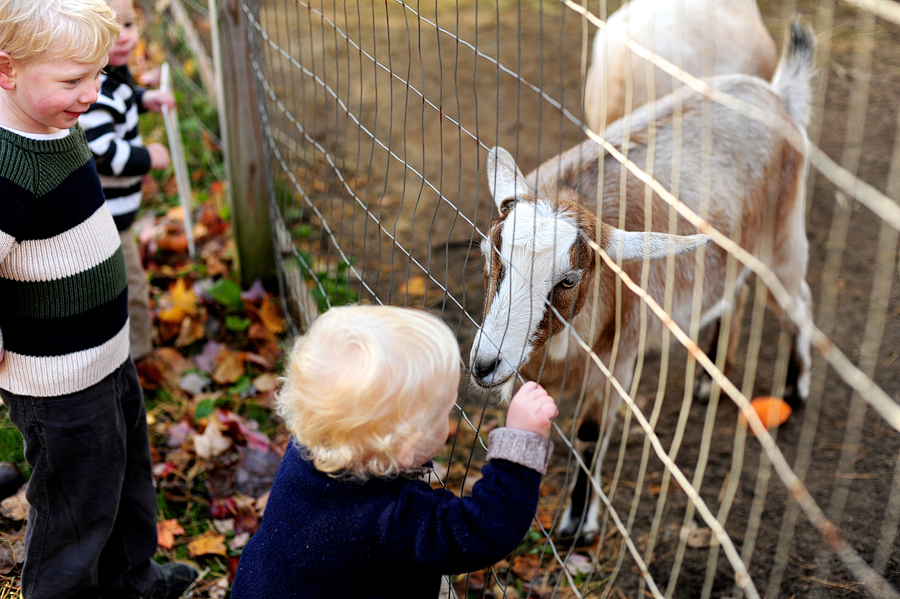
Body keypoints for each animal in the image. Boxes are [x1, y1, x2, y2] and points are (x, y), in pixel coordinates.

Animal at [472, 22, 816, 544]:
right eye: (492, 255)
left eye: (568, 279)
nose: (484, 365)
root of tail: (778, 94)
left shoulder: (620, 355)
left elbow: (591, 433)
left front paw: (578, 523)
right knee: (731, 292)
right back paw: (711, 374)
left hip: (782, 240)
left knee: (798, 302)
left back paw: (795, 387)